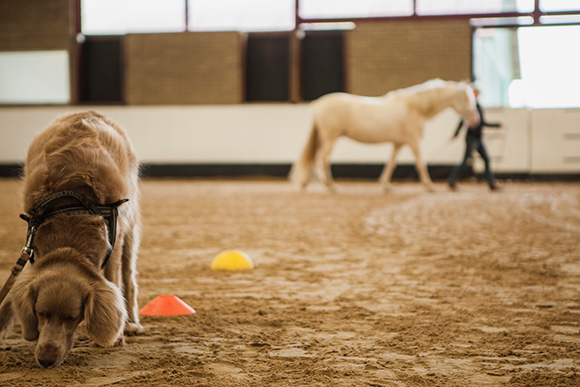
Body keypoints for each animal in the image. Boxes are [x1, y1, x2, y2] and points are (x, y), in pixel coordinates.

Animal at [0, 110, 142, 368]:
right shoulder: (32, 245)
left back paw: (131, 323)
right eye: (40, 313)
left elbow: (115, 279)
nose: (46, 360)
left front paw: (116, 336)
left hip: (130, 222)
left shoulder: (114, 243)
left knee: (128, 276)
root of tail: (88, 112)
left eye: (72, 317)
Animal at [292, 79, 478, 192]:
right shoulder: (414, 140)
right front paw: (429, 185)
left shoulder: (398, 143)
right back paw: (330, 184)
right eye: (466, 98)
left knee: (316, 157)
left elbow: (391, 163)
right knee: (322, 158)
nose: (475, 120)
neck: (415, 107)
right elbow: (421, 163)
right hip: (331, 137)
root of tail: (318, 104)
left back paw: (309, 182)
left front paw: (385, 184)